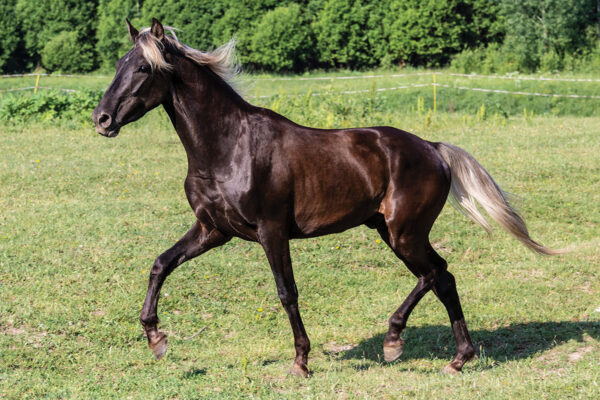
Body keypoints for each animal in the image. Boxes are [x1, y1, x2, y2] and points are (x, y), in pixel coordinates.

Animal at [92, 18, 556, 376]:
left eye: (143, 68)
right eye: (119, 64)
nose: (102, 120)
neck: (228, 147)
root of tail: (433, 148)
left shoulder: (271, 231)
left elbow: (287, 292)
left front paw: (301, 362)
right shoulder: (212, 230)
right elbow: (160, 264)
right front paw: (156, 338)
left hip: (404, 233)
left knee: (435, 274)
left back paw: (394, 340)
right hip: (391, 232)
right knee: (443, 278)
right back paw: (459, 359)